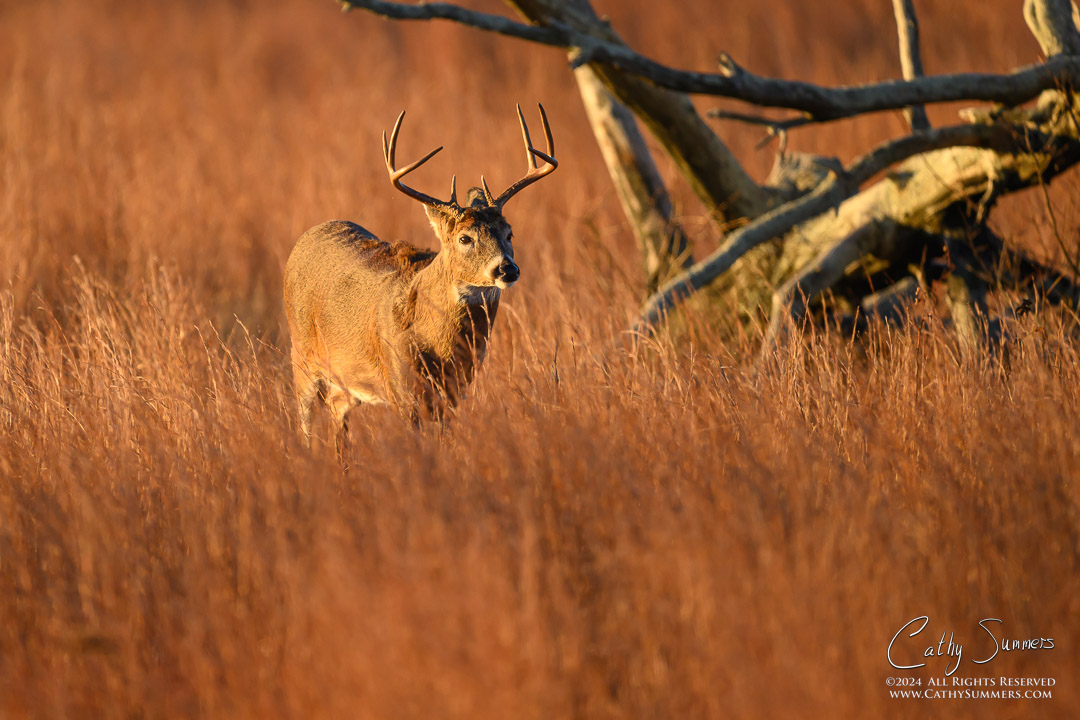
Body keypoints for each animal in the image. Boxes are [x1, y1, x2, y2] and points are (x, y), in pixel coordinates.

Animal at [284, 105, 557, 453]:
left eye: (510, 233)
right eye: (465, 238)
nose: (506, 269)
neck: (438, 345)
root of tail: (306, 236)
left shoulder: (454, 392)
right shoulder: (401, 386)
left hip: (342, 386)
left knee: (338, 425)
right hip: (301, 357)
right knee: (305, 424)